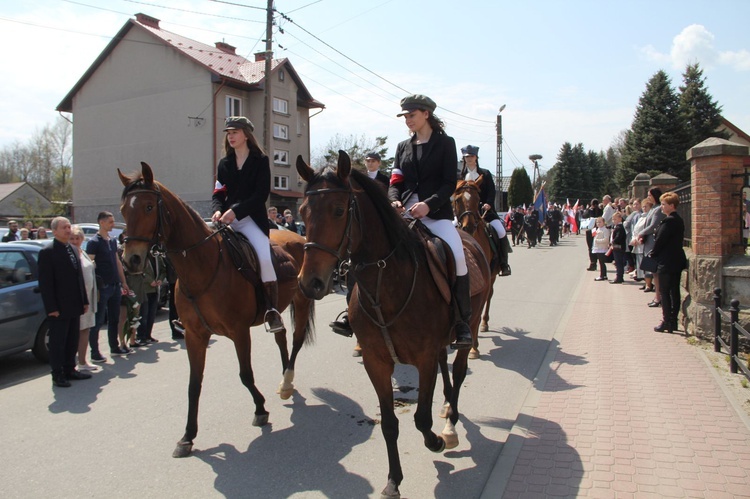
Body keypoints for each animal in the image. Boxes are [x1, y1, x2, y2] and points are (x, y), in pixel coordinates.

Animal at [118, 162, 318, 458]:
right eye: (123, 209)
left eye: (148, 207)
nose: (131, 260)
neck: (204, 266)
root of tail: (297, 235)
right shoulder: (194, 336)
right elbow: (194, 384)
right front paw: (187, 437)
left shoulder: (239, 332)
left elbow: (245, 374)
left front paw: (260, 409)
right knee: (281, 338)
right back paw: (285, 381)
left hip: (302, 301)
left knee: (295, 340)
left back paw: (287, 381)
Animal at [294, 152, 494, 499]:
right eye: (303, 212)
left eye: (338, 210)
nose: (310, 283)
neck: (386, 282)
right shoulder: (376, 361)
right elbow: (389, 423)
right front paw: (393, 480)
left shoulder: (423, 359)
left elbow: (421, 417)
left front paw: (436, 441)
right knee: (446, 372)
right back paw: (447, 411)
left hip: (467, 325)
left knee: (457, 370)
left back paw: (450, 424)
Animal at [456, 179, 502, 340]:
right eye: (458, 199)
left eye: (477, 199)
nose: (468, 226)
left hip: (493, 275)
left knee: (489, 295)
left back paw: (484, 323)